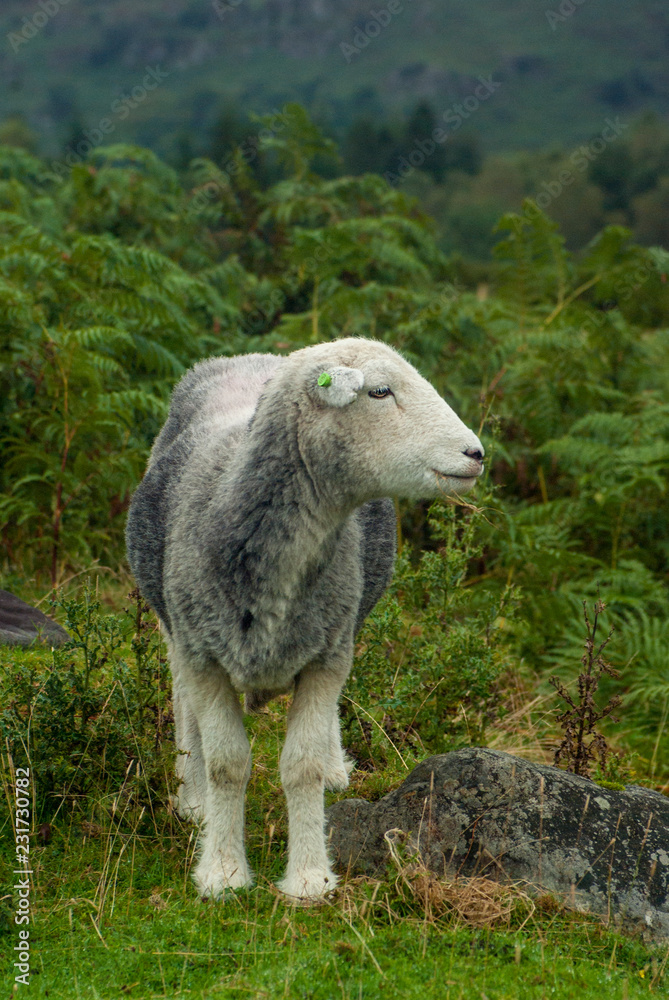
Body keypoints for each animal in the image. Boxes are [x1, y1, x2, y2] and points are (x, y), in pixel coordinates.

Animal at [125, 337, 484, 901]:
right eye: (379, 392)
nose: (476, 455)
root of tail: (250, 357)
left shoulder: (325, 655)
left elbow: (302, 765)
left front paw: (310, 877)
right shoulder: (202, 653)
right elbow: (228, 764)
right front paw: (223, 872)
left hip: (345, 622)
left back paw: (337, 769)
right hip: (172, 627)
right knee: (182, 702)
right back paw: (192, 797)